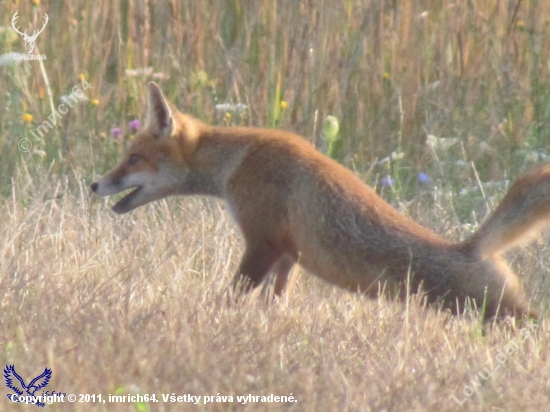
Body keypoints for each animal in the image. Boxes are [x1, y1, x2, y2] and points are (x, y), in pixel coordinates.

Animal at [90, 83, 544, 318]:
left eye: (133, 158)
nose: (95, 184)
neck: (238, 161)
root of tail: (472, 247)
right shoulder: (287, 253)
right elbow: (275, 303)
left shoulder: (262, 242)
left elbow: (231, 297)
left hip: (499, 314)